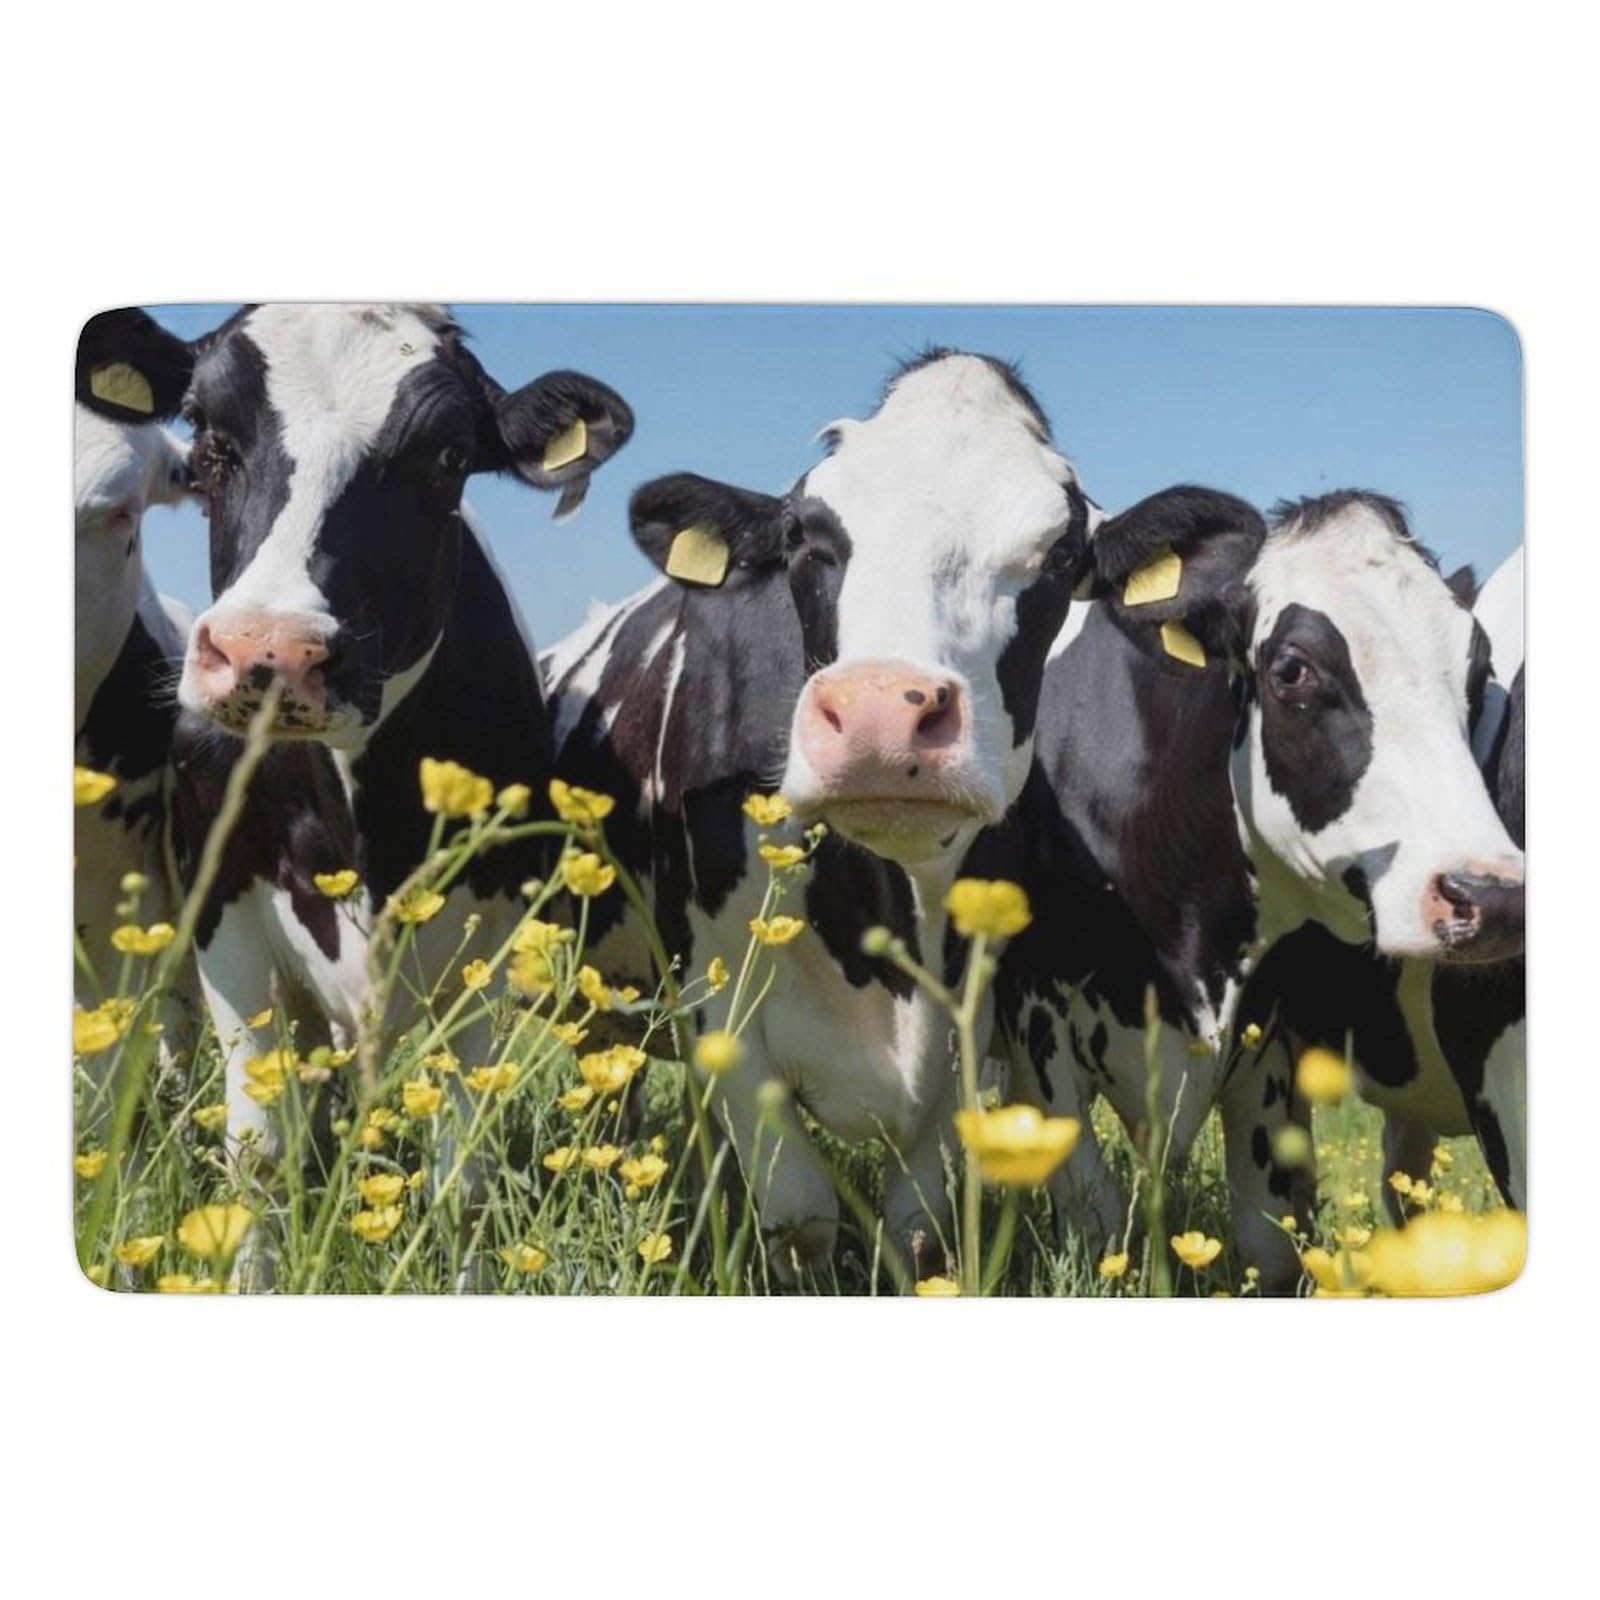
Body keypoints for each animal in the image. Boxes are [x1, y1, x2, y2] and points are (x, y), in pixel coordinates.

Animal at [77, 304, 635, 1166]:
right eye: (207, 434)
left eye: (449, 456)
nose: (270, 652)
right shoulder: (223, 910)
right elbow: (258, 1144)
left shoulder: (486, 939)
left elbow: (459, 1168)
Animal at [546, 349, 1254, 1282]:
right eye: (806, 536)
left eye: (1061, 553)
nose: (881, 715)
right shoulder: (717, 1003)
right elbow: (803, 1220)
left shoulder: (966, 1033)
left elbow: (916, 1230)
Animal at [971, 489, 1525, 1290]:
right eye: (1291, 670)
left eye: (1478, 674)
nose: (1492, 896)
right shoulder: (1036, 1025)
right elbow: (1097, 1223)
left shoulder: (1265, 1041)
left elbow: (1270, 1244)